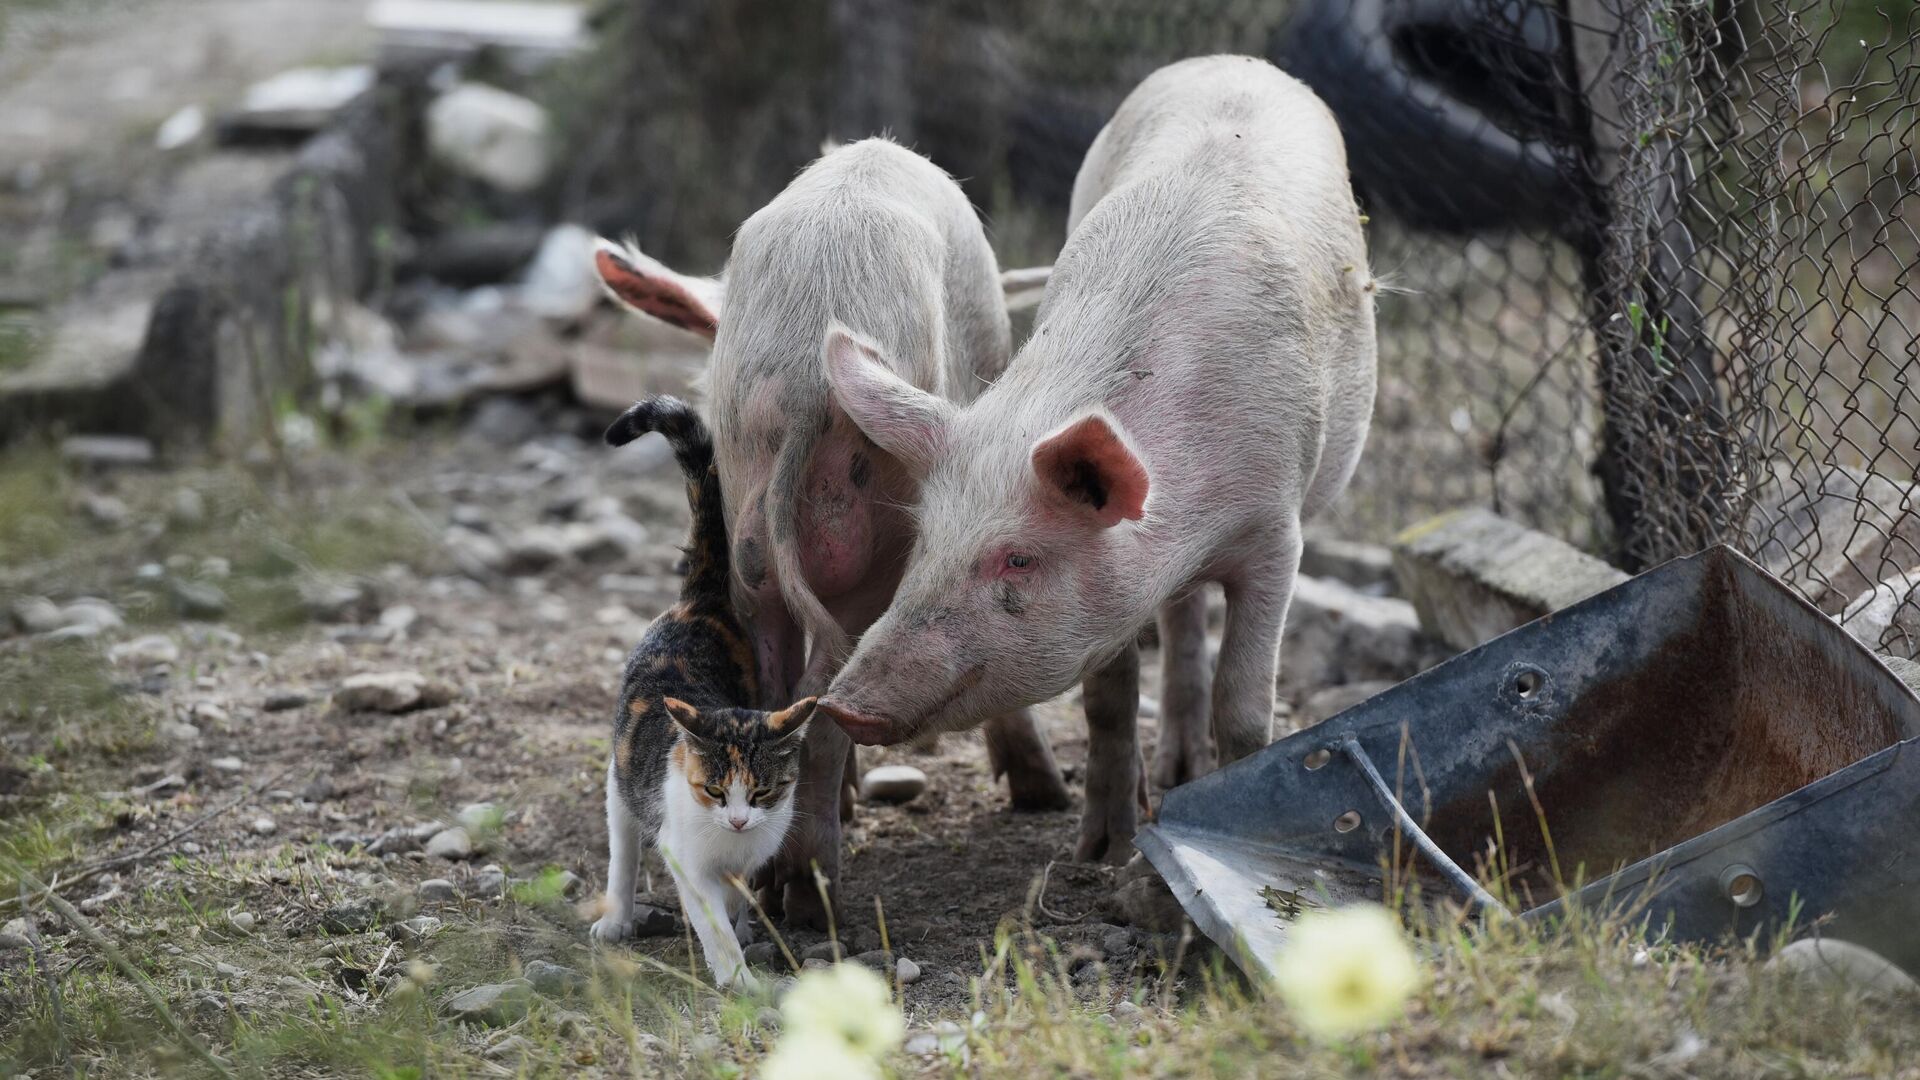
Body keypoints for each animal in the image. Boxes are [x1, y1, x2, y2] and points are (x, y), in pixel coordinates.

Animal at [583, 136, 1067, 926]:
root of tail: (807, 378)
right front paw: (1043, 797)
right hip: (881, 539)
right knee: (825, 692)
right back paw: (813, 897)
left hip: (752, 533)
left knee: (782, 681)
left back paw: (782, 880)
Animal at [591, 390, 817, 991]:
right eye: (714, 791)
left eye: (762, 793)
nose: (737, 819)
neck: (730, 843)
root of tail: (700, 600)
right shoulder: (686, 856)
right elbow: (710, 917)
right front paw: (737, 978)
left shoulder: (756, 847)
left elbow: (737, 899)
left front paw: (743, 930)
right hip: (621, 779)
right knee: (623, 847)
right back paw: (617, 918)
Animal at [817, 56, 1374, 857]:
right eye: (925, 542)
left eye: (1019, 558)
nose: (842, 705)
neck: (1188, 522)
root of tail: (1230, 59)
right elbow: (1108, 699)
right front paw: (1100, 850)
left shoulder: (1278, 533)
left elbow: (1245, 707)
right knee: (1181, 620)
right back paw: (1171, 771)